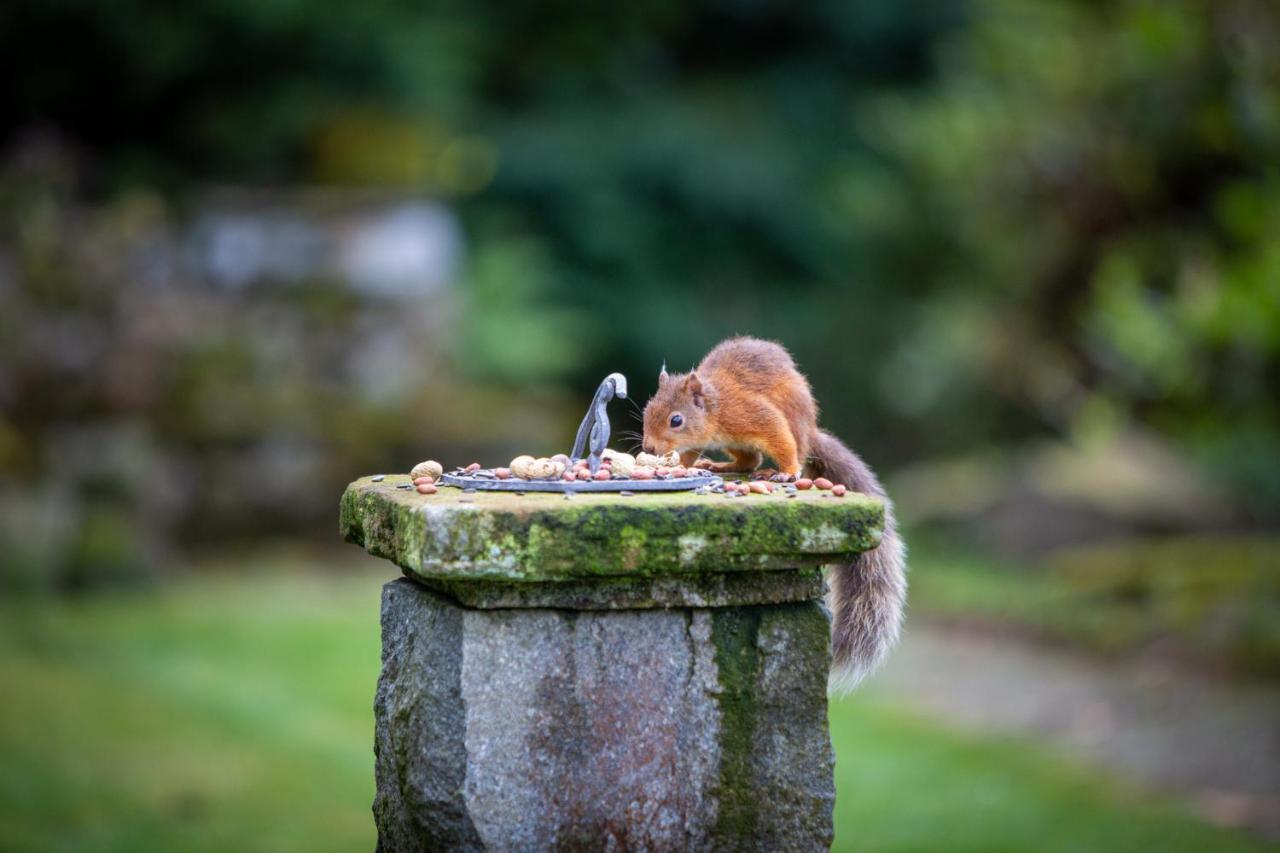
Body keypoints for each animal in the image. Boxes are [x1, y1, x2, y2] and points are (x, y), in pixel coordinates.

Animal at [645, 335, 906, 686]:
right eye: (648, 409)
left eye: (676, 420)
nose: (648, 447)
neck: (715, 409)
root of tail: (811, 429)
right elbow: (687, 455)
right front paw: (680, 468)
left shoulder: (754, 415)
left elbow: (780, 440)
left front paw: (788, 472)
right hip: (739, 444)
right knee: (748, 460)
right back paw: (721, 465)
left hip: (792, 417)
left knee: (786, 448)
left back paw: (776, 471)